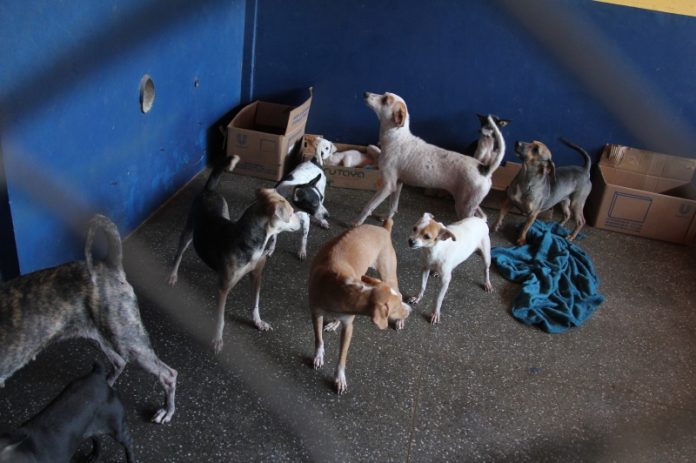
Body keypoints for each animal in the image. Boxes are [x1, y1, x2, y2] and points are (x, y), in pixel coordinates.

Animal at [0, 214, 177, 424]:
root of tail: (109, 265)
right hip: (100, 336)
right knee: (119, 362)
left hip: (128, 340)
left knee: (168, 375)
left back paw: (166, 410)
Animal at [0, 363, 135, 463]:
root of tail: (98, 375)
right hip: (89, 427)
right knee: (96, 438)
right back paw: (94, 456)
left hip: (116, 428)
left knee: (128, 443)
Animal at [168, 155, 300, 353]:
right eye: (290, 213)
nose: (301, 219)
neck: (252, 242)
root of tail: (209, 190)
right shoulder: (223, 289)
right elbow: (220, 319)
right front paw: (217, 339)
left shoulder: (257, 275)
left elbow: (255, 303)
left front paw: (258, 322)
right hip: (188, 230)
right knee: (179, 254)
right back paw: (173, 275)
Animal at [308, 218, 411, 394]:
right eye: (396, 307)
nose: (410, 310)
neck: (337, 287)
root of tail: (384, 229)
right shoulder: (316, 314)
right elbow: (318, 339)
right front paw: (319, 356)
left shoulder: (349, 327)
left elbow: (342, 356)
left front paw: (339, 378)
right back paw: (334, 323)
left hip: (389, 274)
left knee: (398, 288)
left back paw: (399, 322)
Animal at [354, 92, 506, 225]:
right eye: (384, 95)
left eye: (385, 100)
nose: (365, 93)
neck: (396, 137)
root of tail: (485, 168)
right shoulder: (398, 184)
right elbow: (393, 206)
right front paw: (387, 218)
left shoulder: (387, 185)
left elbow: (369, 206)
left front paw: (357, 222)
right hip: (470, 203)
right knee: (483, 216)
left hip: (464, 206)